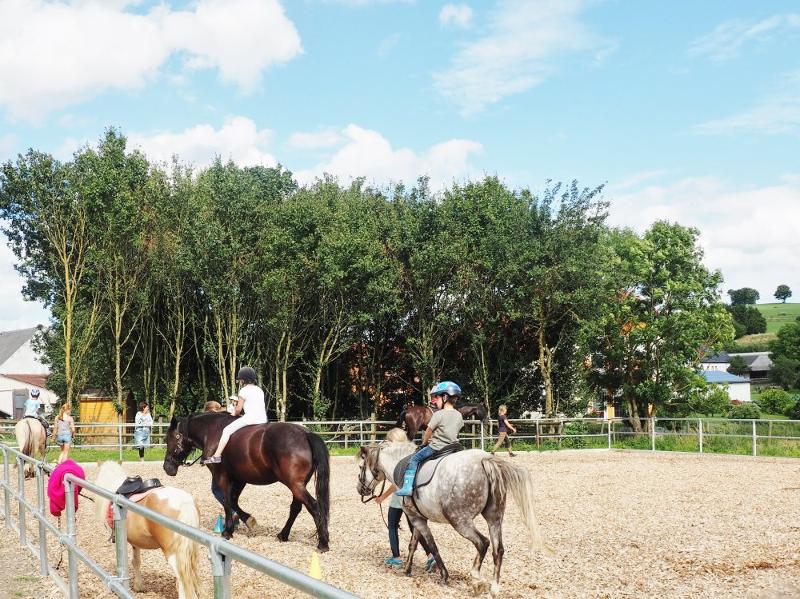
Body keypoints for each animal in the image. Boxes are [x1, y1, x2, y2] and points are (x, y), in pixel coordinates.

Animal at [93, 462, 202, 596]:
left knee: (182, 577)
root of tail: (185, 503)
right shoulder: (135, 541)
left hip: (173, 553)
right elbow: (136, 561)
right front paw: (139, 586)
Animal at [161, 414, 330, 552]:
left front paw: (227, 531)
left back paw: (323, 542)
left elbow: (227, 501)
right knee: (296, 508)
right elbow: (233, 501)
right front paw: (248, 520)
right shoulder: (240, 479)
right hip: (297, 485)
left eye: (171, 439)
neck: (213, 431)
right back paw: (283, 534)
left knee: (314, 506)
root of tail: (306, 434)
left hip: (295, 485)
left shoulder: (221, 476)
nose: (167, 467)